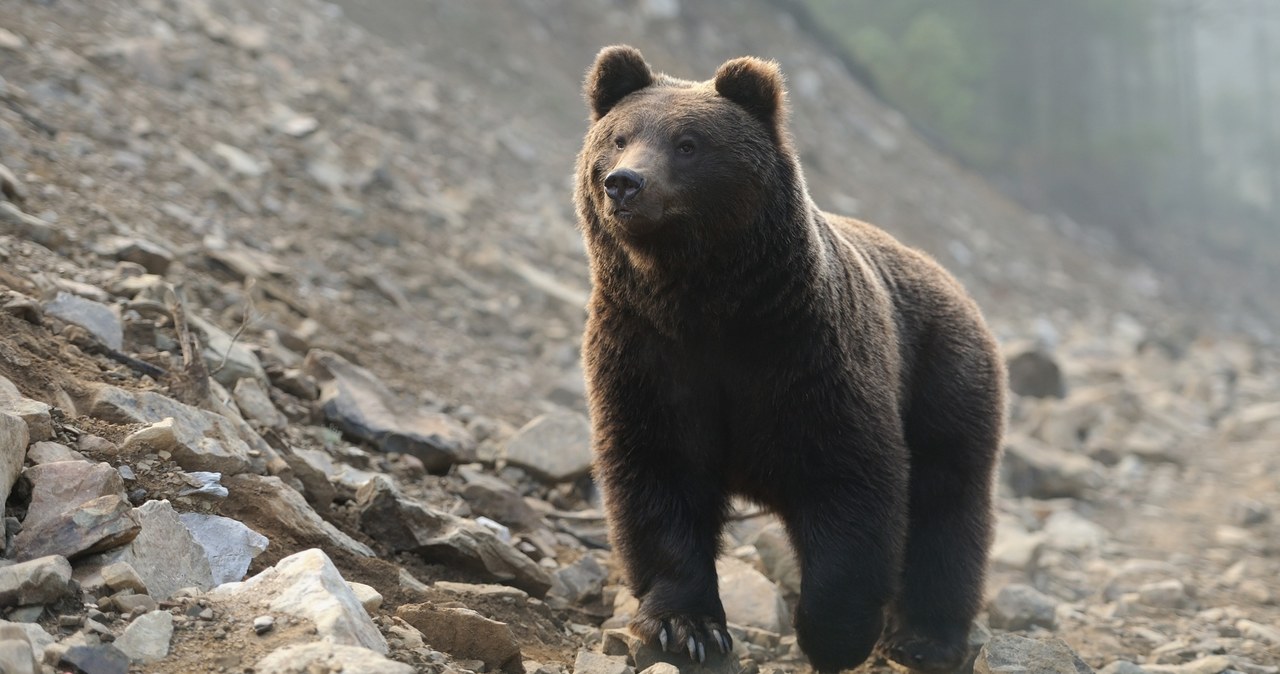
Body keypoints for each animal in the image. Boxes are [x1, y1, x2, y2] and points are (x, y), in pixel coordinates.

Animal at [576, 44, 1003, 670]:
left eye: (687, 143)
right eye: (618, 137)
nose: (624, 183)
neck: (705, 303)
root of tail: (950, 279)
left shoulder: (807, 358)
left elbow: (850, 485)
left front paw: (834, 634)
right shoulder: (648, 355)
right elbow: (658, 475)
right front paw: (685, 626)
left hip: (943, 376)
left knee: (948, 506)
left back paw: (926, 637)